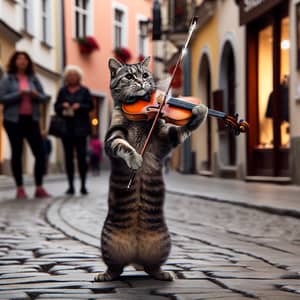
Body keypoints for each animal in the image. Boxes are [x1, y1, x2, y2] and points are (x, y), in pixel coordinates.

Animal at [95, 56, 207, 282]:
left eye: (145, 75)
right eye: (129, 76)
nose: (141, 83)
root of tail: (134, 257)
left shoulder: (165, 138)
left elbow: (183, 128)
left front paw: (200, 110)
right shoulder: (112, 137)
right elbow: (123, 146)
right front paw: (135, 160)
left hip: (163, 242)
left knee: (151, 268)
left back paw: (162, 273)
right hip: (108, 243)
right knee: (115, 269)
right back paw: (104, 275)